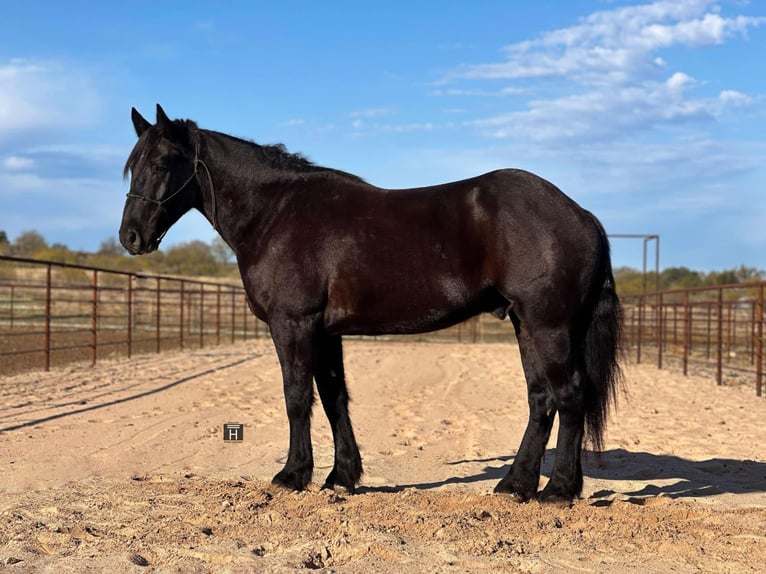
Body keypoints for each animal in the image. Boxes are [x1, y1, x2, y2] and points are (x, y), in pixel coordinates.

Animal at [121, 103, 624, 504]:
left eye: (163, 162)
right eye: (132, 165)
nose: (131, 237)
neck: (276, 213)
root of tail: (582, 215)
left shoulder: (293, 324)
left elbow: (297, 397)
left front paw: (292, 475)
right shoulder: (325, 332)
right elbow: (333, 398)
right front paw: (341, 477)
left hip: (548, 325)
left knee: (569, 395)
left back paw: (558, 490)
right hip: (525, 323)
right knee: (541, 399)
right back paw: (515, 485)